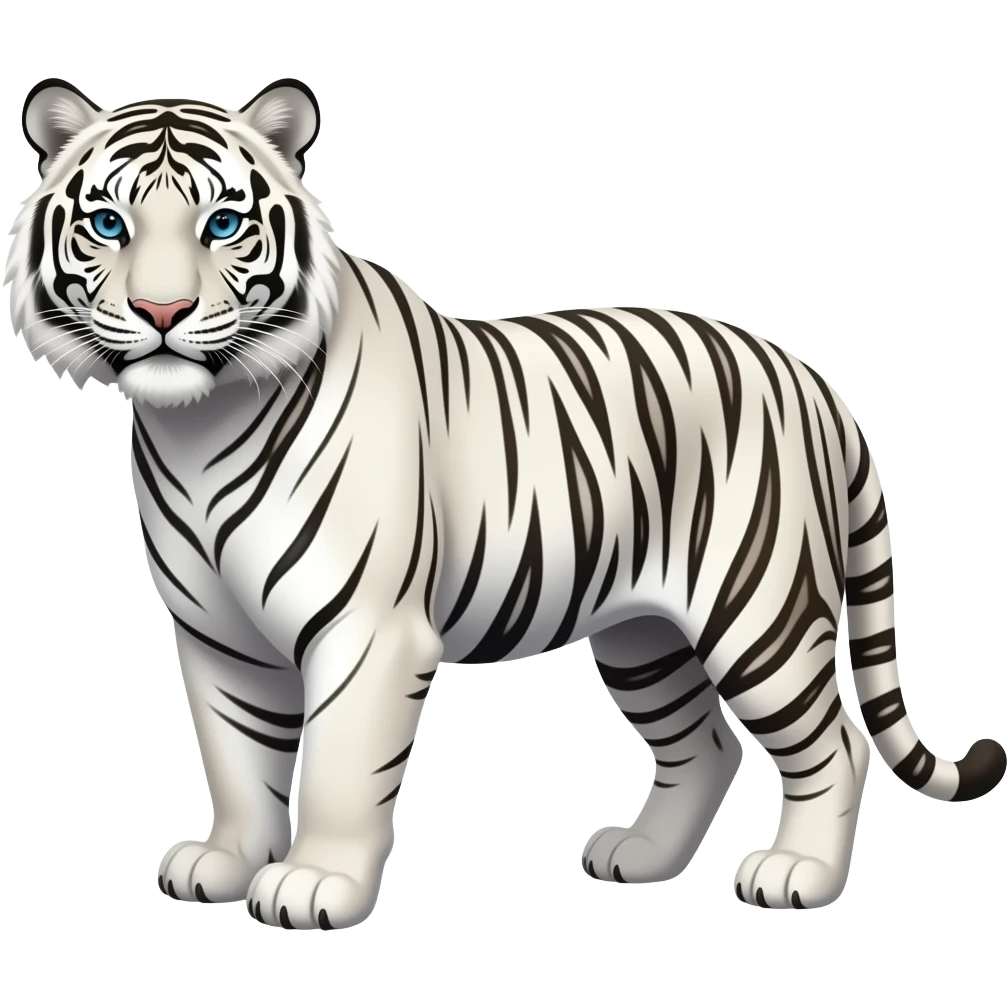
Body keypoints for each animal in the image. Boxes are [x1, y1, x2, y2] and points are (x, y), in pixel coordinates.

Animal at [5, 76, 1005, 930]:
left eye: (222, 223)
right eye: (106, 223)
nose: (161, 312)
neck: (197, 426)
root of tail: (808, 376)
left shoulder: (367, 631)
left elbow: (336, 768)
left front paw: (315, 884)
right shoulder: (219, 636)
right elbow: (237, 757)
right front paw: (223, 862)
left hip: (756, 612)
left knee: (834, 742)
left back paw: (796, 875)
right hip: (643, 634)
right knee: (704, 746)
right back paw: (640, 858)